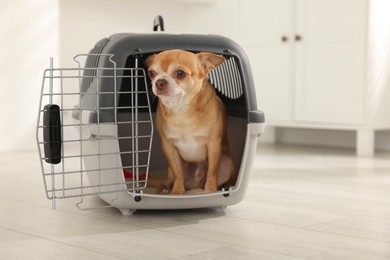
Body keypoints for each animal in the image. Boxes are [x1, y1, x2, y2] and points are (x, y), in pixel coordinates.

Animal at [145, 49, 236, 194]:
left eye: (180, 73)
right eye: (151, 73)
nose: (159, 82)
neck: (181, 110)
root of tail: (195, 185)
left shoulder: (213, 144)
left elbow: (212, 171)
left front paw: (210, 190)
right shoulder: (169, 147)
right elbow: (178, 173)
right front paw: (177, 192)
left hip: (227, 162)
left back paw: (222, 186)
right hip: (170, 169)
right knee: (168, 178)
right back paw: (164, 188)